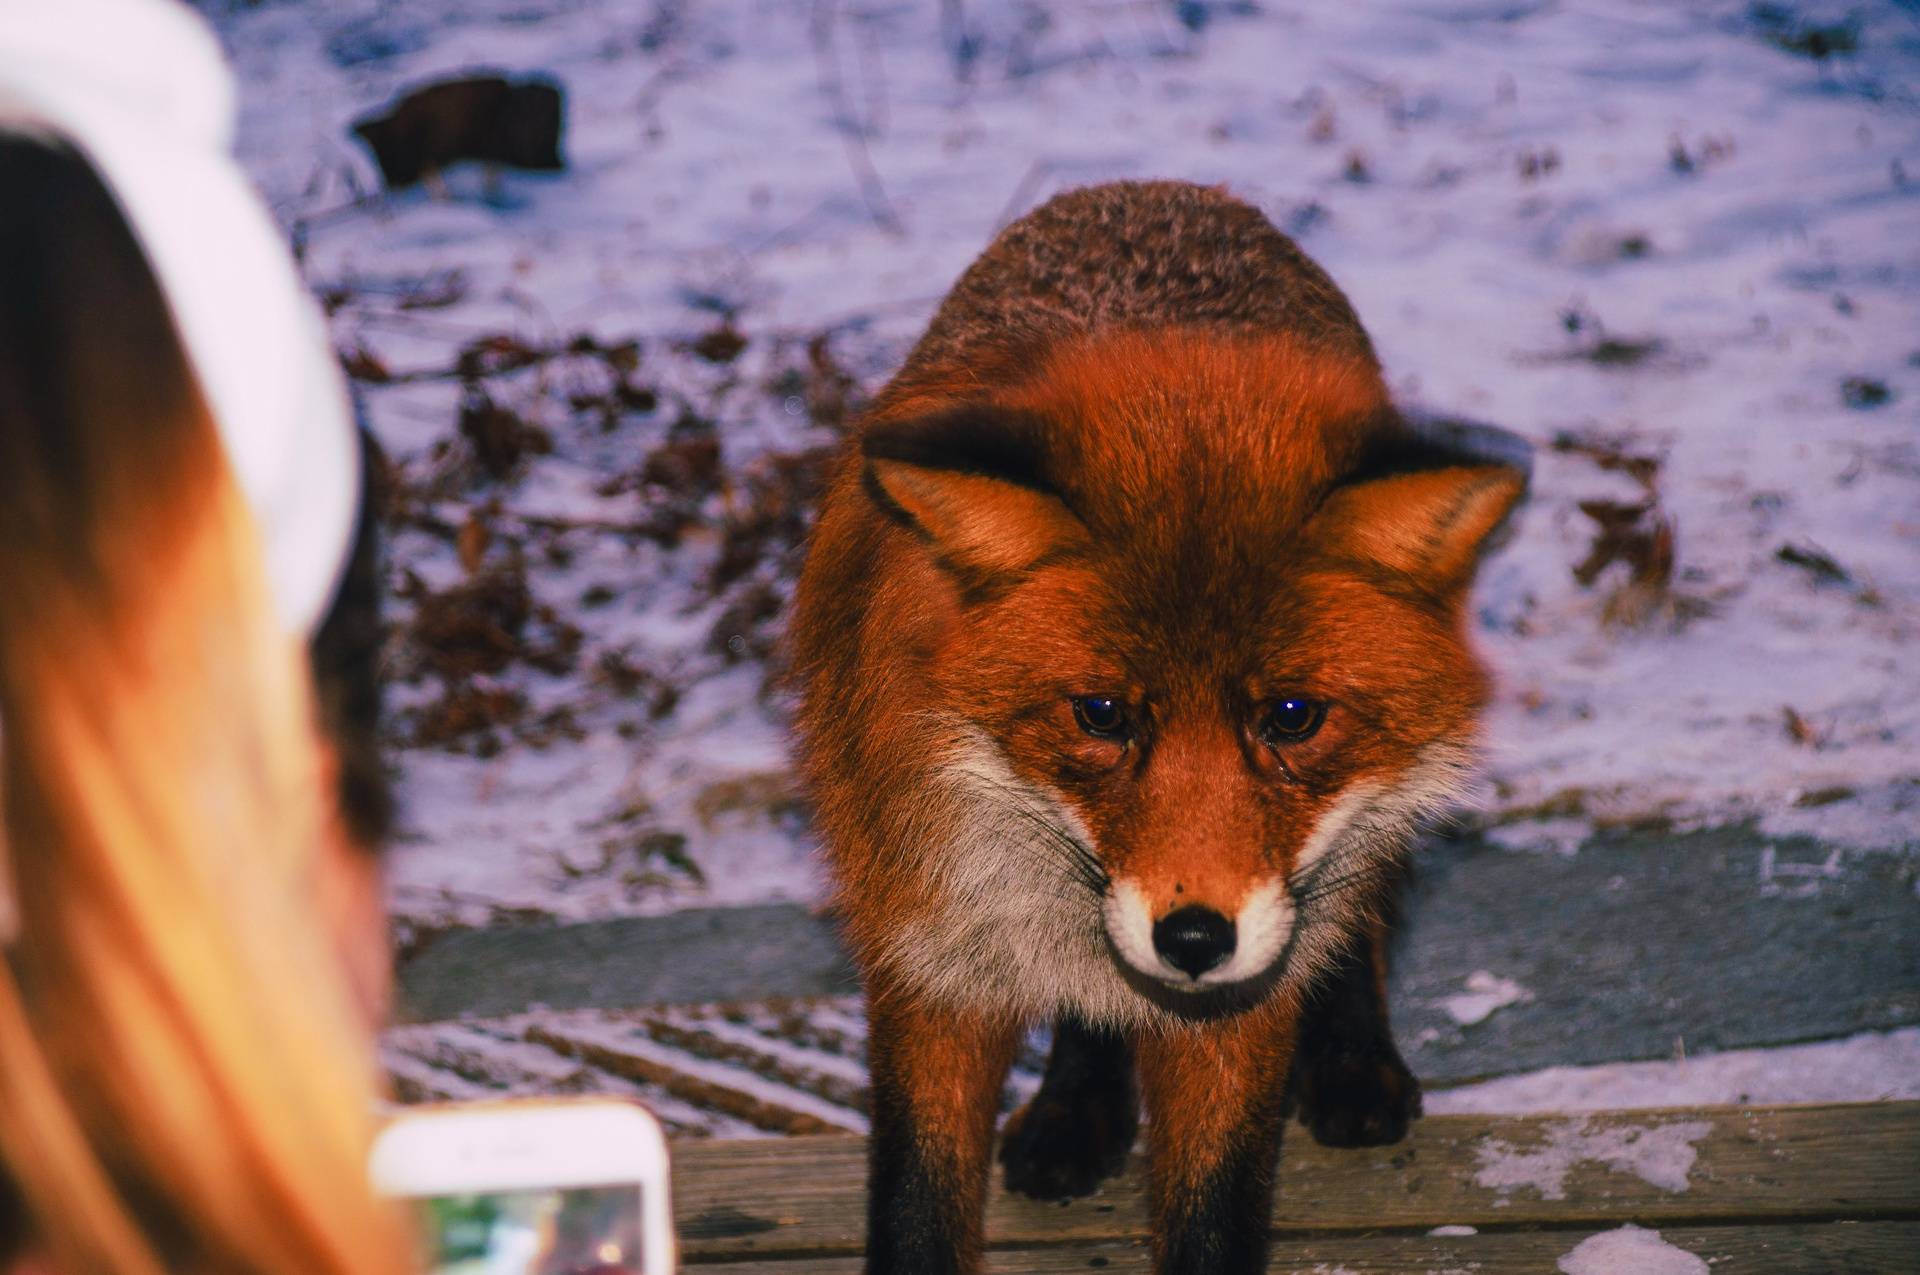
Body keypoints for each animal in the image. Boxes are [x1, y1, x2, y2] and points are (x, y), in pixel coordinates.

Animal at [787, 181, 1520, 1275]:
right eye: (1102, 714)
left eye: (1291, 716)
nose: (1194, 939)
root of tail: (1158, 189)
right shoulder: (930, 964)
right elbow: (914, 1207)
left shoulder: (1243, 1003)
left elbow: (1216, 1210)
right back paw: (1073, 1111)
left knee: (1362, 911)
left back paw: (1355, 1064)